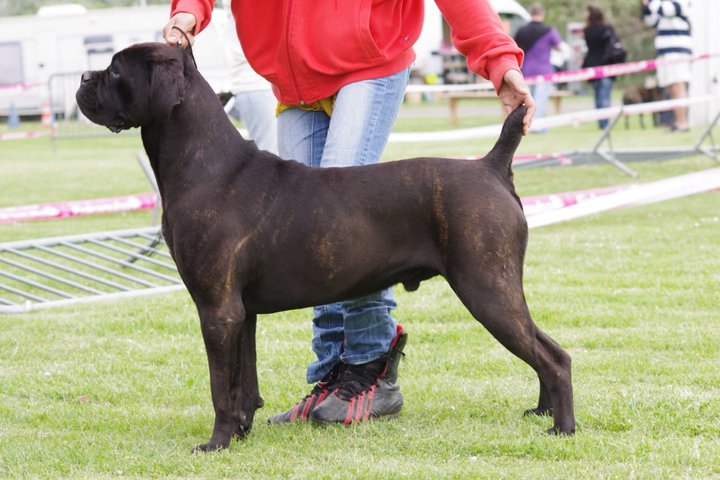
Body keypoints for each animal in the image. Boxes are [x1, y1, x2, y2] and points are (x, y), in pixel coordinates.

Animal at [76, 43, 572, 452]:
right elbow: (243, 382)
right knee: (549, 348)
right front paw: (240, 432)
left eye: (116, 70)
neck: (205, 165)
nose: (82, 77)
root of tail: (491, 166)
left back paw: (561, 428)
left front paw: (216, 443)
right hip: (496, 287)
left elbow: (221, 387)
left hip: (486, 287)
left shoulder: (216, 310)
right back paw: (541, 412)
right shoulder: (241, 313)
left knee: (554, 357)